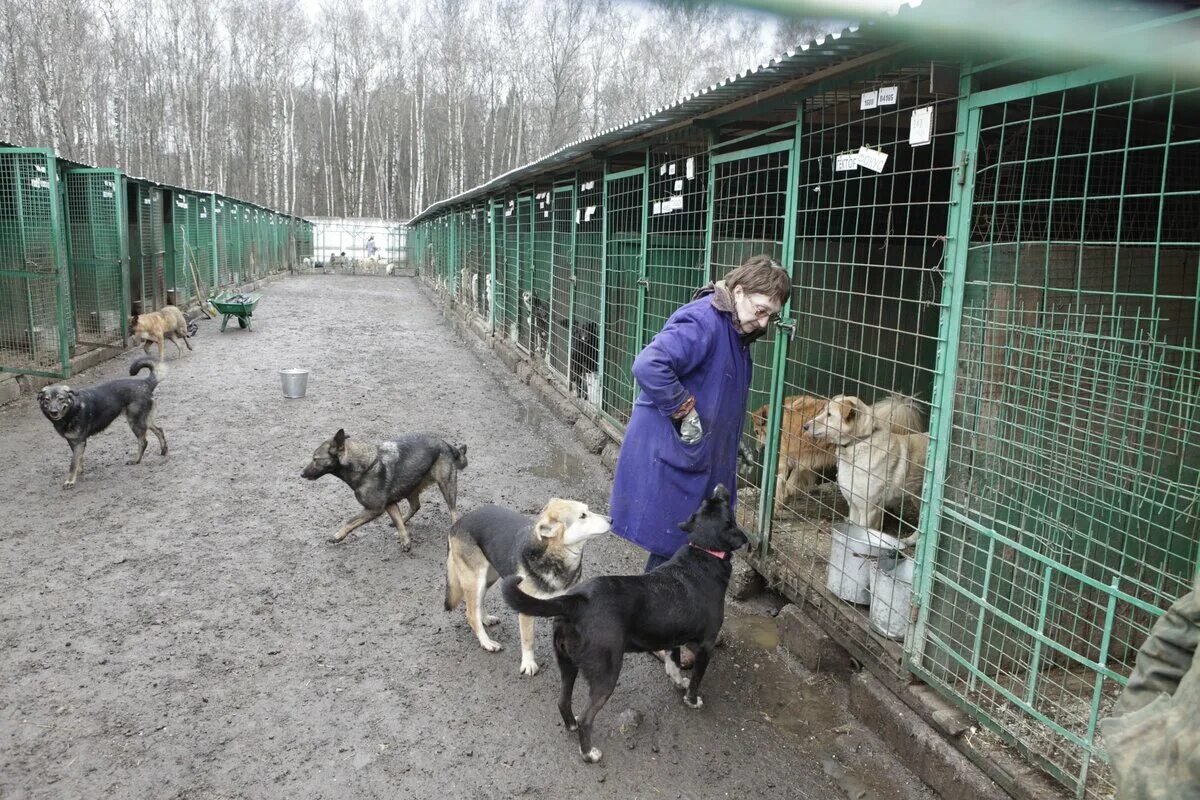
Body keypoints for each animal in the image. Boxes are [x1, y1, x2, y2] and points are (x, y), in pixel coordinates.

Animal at [38, 355, 169, 489]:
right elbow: (78, 458)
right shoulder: (72, 441)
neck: (73, 409)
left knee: (143, 441)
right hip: (144, 420)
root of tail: (145, 383)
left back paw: (136, 460)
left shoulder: (79, 442)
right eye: (47, 400)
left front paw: (70, 480)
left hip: (135, 422)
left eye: (61, 399)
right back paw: (163, 450)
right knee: (159, 430)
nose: (53, 412)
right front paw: (79, 470)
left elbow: (73, 462)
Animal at [300, 431, 468, 551]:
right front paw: (405, 540)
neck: (364, 466)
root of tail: (446, 444)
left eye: (315, 459)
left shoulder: (374, 509)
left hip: (446, 485)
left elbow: (350, 522)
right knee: (415, 506)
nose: (301, 474)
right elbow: (398, 522)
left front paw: (337, 536)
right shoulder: (390, 504)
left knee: (453, 511)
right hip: (411, 485)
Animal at [446, 501, 609, 676]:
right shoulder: (524, 606)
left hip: (489, 576)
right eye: (583, 516)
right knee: (471, 613)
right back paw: (487, 642)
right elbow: (528, 640)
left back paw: (485, 618)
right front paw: (529, 663)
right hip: (476, 578)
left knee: (478, 602)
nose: (611, 520)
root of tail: (457, 524)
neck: (555, 557)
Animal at [501, 484, 744, 767]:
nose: (720, 486)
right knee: (587, 717)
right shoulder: (706, 645)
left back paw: (571, 725)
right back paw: (589, 752)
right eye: (723, 503)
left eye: (710, 501)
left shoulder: (673, 635)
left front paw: (678, 680)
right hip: (606, 673)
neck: (703, 550)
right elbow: (696, 680)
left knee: (563, 701)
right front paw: (692, 699)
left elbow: (673, 662)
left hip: (567, 663)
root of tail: (576, 601)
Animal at [806, 393, 926, 537]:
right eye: (823, 411)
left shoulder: (869, 510)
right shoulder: (853, 505)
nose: (805, 426)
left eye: (829, 415)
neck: (858, 443)